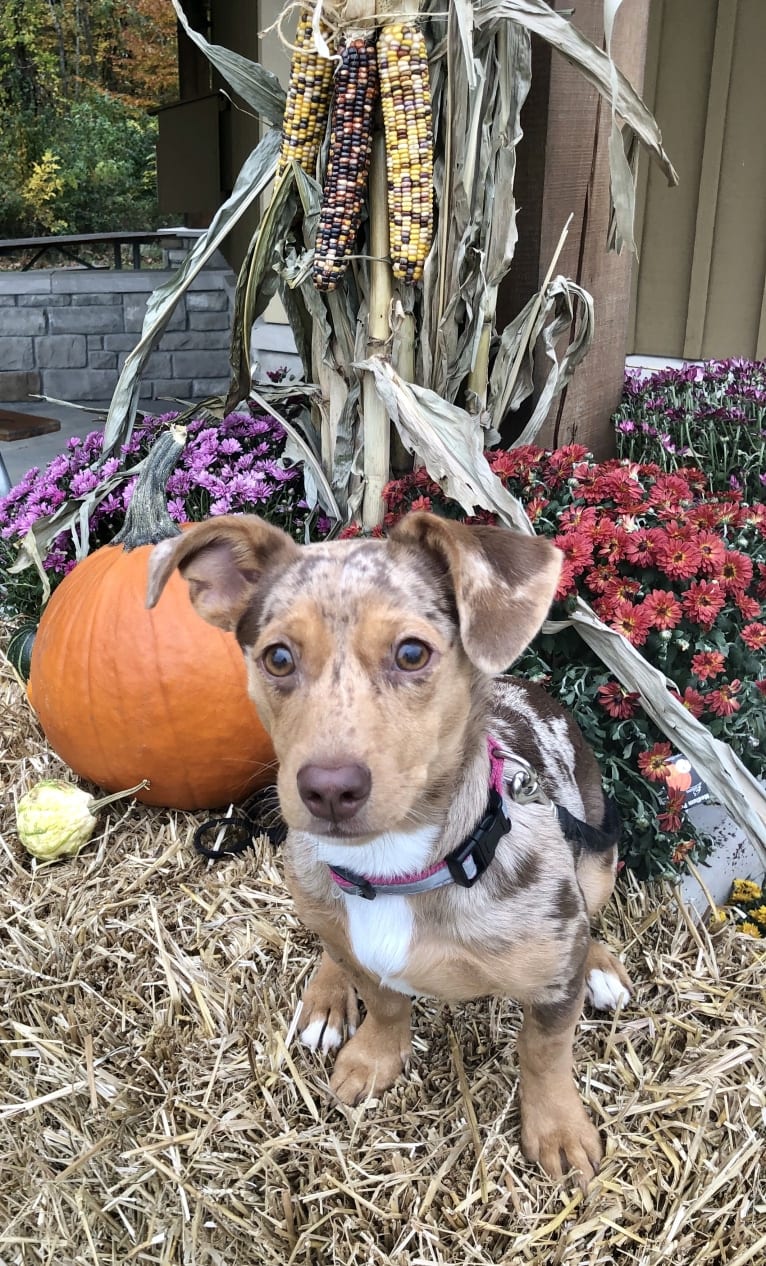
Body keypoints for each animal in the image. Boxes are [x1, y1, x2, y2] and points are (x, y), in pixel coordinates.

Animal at [148, 511, 627, 1184]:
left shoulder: (554, 978)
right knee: (330, 939)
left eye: (411, 652)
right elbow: (384, 1000)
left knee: (592, 909)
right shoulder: (361, 947)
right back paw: (327, 996)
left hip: (598, 853)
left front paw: (558, 1130)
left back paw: (602, 966)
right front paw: (374, 1056)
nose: (328, 788)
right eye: (277, 657)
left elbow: (545, 1049)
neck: (394, 869)